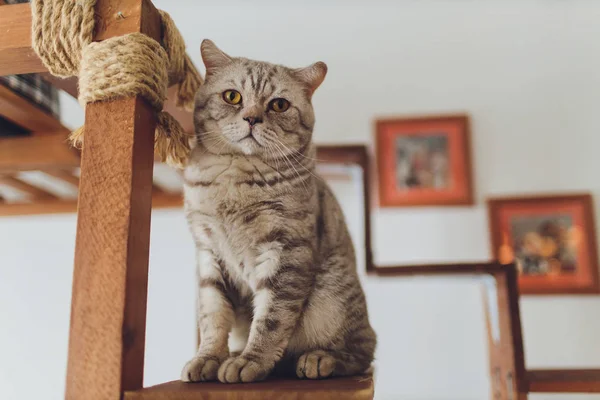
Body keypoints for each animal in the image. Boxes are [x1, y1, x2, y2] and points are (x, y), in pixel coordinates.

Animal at [180, 40, 376, 384]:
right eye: (232, 96)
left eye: (279, 105)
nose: (252, 118)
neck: (234, 179)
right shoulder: (208, 253)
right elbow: (212, 316)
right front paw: (208, 358)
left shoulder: (284, 252)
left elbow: (271, 319)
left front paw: (251, 361)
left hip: (331, 301)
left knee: (363, 353)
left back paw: (319, 359)